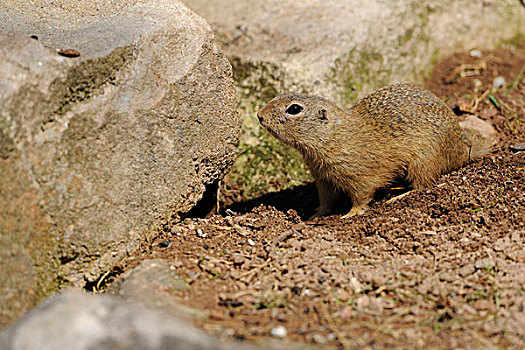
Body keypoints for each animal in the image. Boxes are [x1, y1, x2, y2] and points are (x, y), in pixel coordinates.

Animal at [258, 83, 496, 217]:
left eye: (294, 109)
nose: (259, 115)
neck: (334, 137)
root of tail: (461, 150)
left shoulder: (361, 177)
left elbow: (361, 197)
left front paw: (350, 215)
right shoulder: (323, 180)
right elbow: (326, 201)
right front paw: (314, 215)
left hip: (422, 160)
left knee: (422, 185)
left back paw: (398, 197)